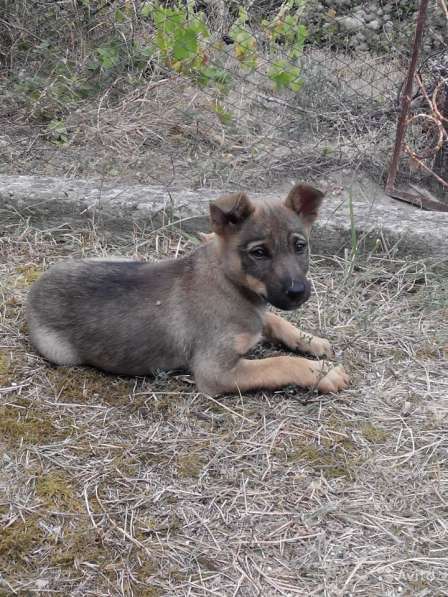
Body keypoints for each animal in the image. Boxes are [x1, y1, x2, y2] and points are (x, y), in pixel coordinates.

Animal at [27, 182, 350, 396]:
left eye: (300, 246)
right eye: (259, 253)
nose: (298, 292)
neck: (229, 282)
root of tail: (35, 287)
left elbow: (275, 320)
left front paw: (311, 341)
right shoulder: (216, 372)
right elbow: (279, 363)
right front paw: (322, 372)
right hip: (60, 353)